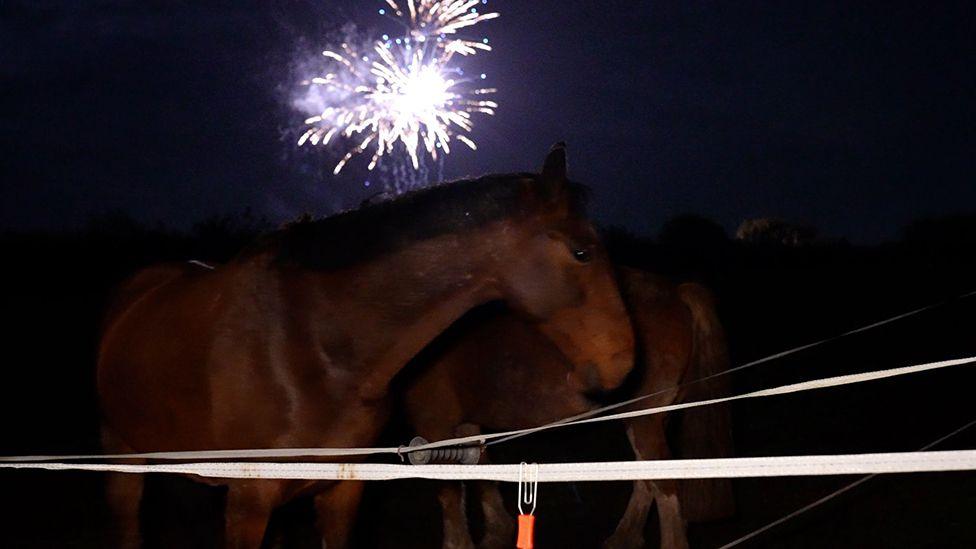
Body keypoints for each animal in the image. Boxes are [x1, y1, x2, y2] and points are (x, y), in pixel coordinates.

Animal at [95, 144, 636, 549]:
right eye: (582, 252)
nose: (623, 361)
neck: (314, 347)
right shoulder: (249, 501)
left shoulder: (342, 493)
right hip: (125, 460)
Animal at [404, 267, 734, 549]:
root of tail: (674, 293)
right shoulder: (467, 424)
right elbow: (482, 472)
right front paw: (497, 531)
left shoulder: (433, 422)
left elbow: (448, 494)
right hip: (649, 417)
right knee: (647, 479)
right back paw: (625, 537)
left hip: (645, 419)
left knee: (664, 486)